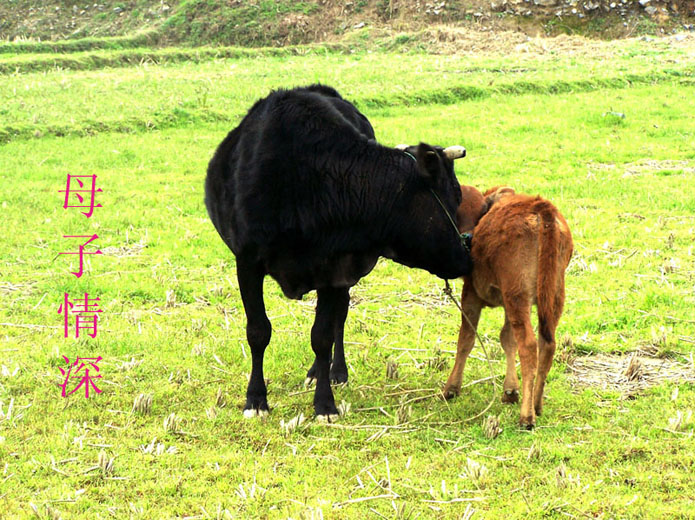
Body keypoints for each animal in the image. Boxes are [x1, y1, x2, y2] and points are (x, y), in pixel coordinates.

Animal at [204, 84, 470, 418]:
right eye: (456, 194)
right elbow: (258, 331)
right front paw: (255, 399)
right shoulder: (247, 261)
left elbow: (322, 335)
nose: (467, 253)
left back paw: (333, 371)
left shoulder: (336, 267)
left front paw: (324, 404)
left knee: (339, 318)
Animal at [444, 185, 572, 428]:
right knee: (547, 344)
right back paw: (537, 404)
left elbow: (466, 339)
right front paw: (510, 390)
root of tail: (541, 208)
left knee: (529, 346)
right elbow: (507, 339)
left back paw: (527, 417)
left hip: (517, 296)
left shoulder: (471, 294)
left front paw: (451, 388)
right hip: (552, 296)